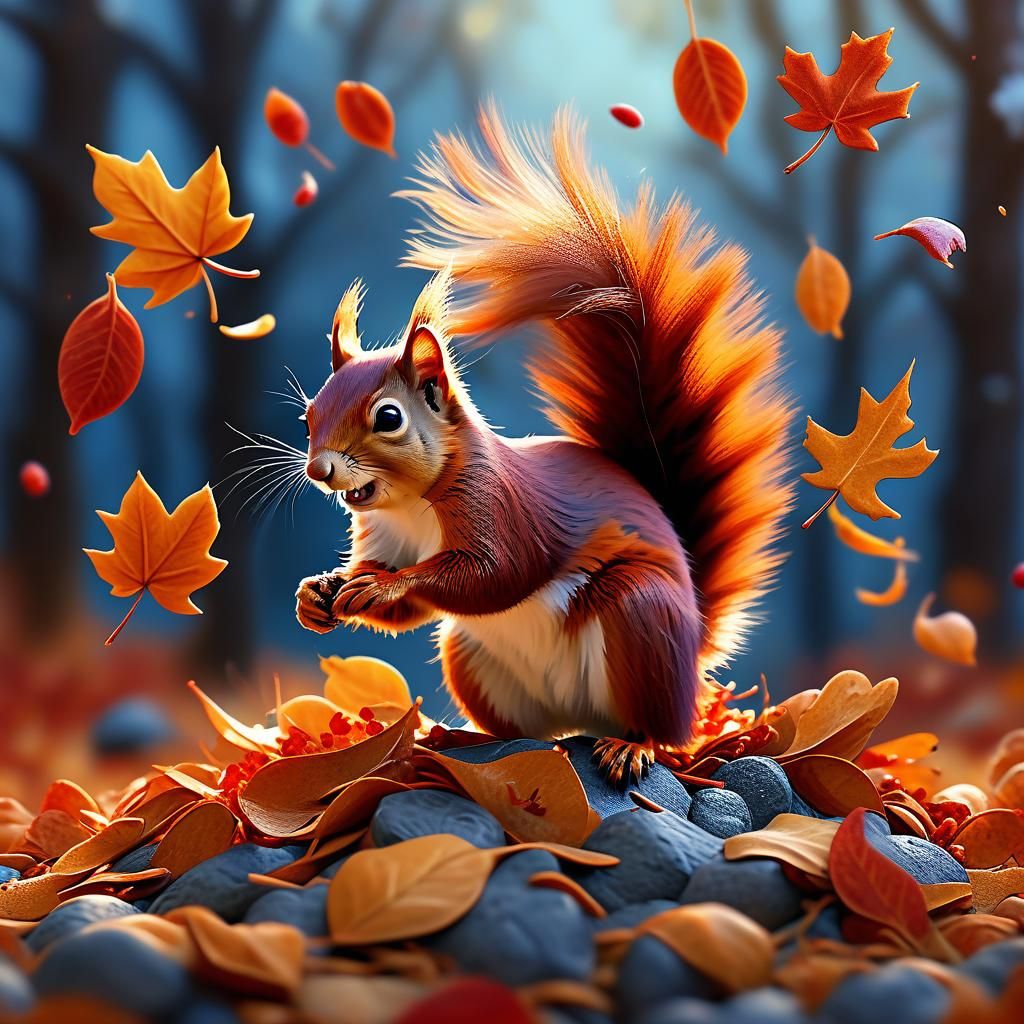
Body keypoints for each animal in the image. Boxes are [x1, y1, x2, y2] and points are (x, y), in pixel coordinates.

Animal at [295, 105, 793, 783]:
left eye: (389, 417)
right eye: (309, 415)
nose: (319, 470)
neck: (413, 504)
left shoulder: (504, 508)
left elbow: (497, 573)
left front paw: (381, 586)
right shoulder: (386, 536)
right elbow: (405, 604)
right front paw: (318, 593)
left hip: (639, 614)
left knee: (663, 729)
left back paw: (635, 746)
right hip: (471, 656)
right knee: (525, 734)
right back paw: (456, 739)